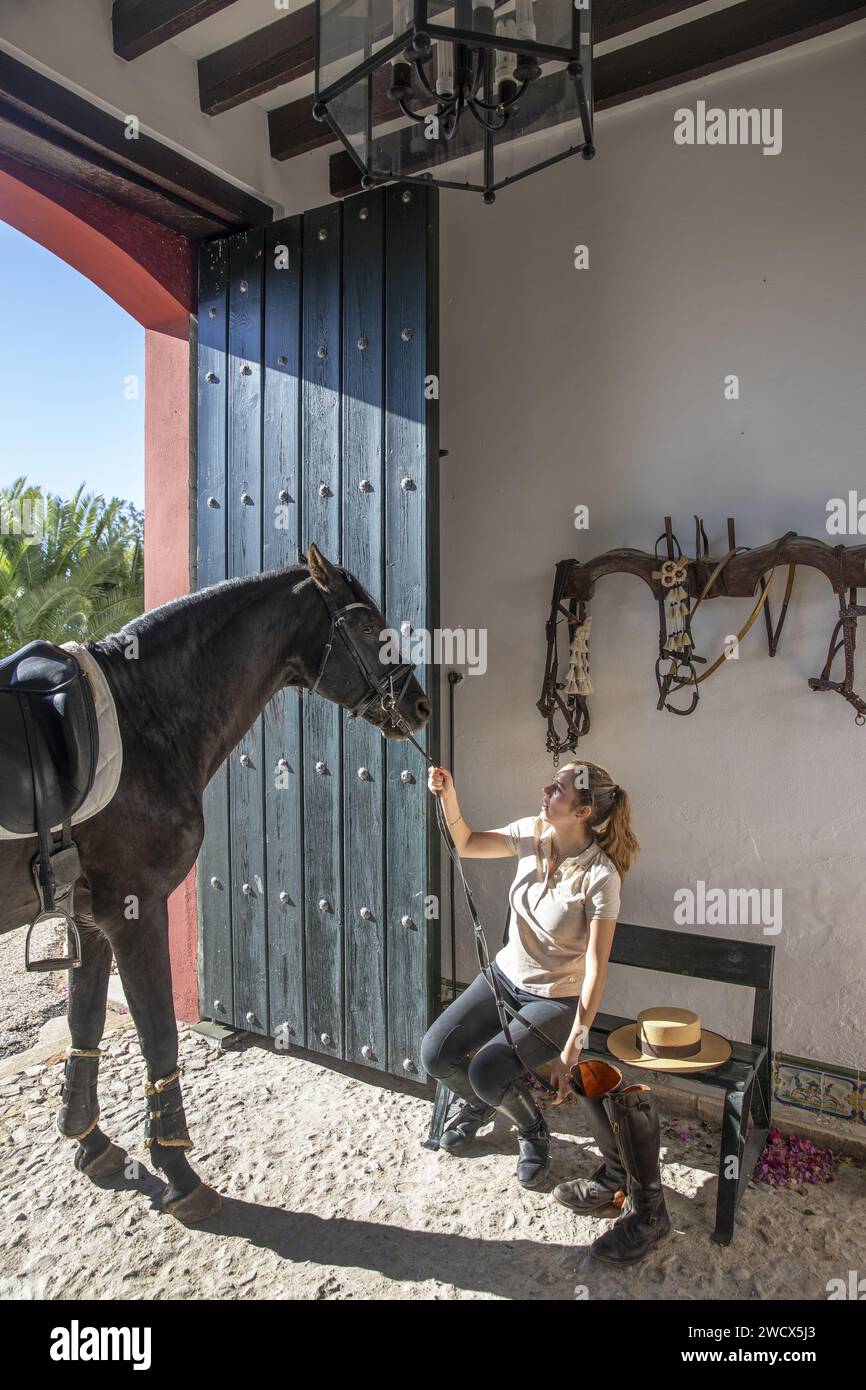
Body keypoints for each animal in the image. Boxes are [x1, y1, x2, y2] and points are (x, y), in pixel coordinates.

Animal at [0, 542, 430, 1217]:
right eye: (365, 626)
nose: (418, 705)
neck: (140, 720)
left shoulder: (87, 916)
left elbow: (84, 1022)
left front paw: (89, 1141)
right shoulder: (134, 910)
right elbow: (157, 1036)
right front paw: (178, 1170)